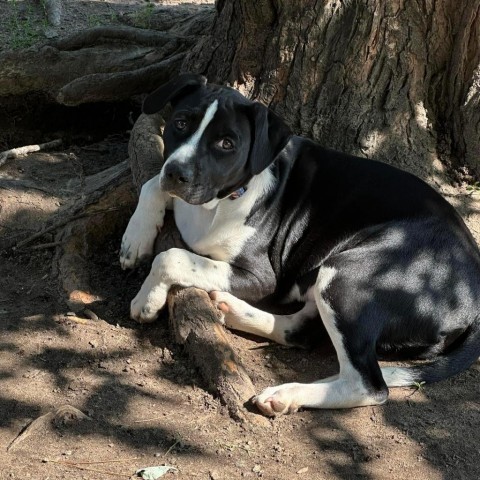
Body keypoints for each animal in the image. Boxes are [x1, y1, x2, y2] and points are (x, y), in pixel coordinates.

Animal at [119, 74, 480, 416]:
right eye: (181, 123)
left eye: (226, 143)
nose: (176, 173)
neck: (217, 204)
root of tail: (474, 296)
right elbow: (151, 185)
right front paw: (135, 239)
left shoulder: (262, 277)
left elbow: (172, 256)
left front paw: (147, 300)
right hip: (330, 280)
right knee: (304, 331)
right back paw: (234, 310)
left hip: (349, 276)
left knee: (369, 385)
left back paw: (286, 393)